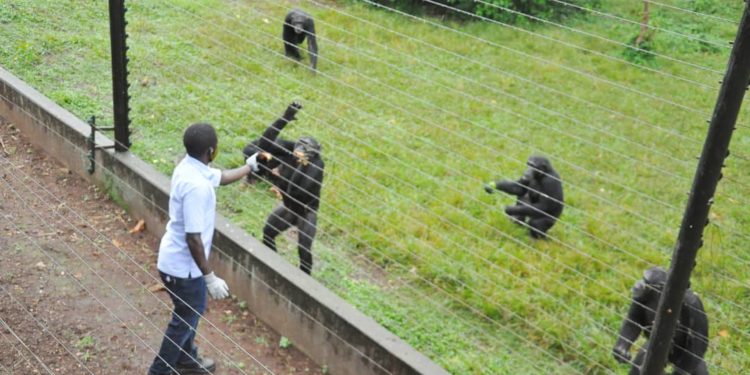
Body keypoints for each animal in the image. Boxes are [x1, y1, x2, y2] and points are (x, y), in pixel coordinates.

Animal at [241, 101, 324, 274]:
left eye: (307, 145)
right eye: (301, 142)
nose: (301, 149)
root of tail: (294, 219)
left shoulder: (319, 165)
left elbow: (300, 191)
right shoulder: (289, 145)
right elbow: (266, 144)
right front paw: (288, 114)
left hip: (308, 217)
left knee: (304, 250)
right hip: (285, 213)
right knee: (269, 231)